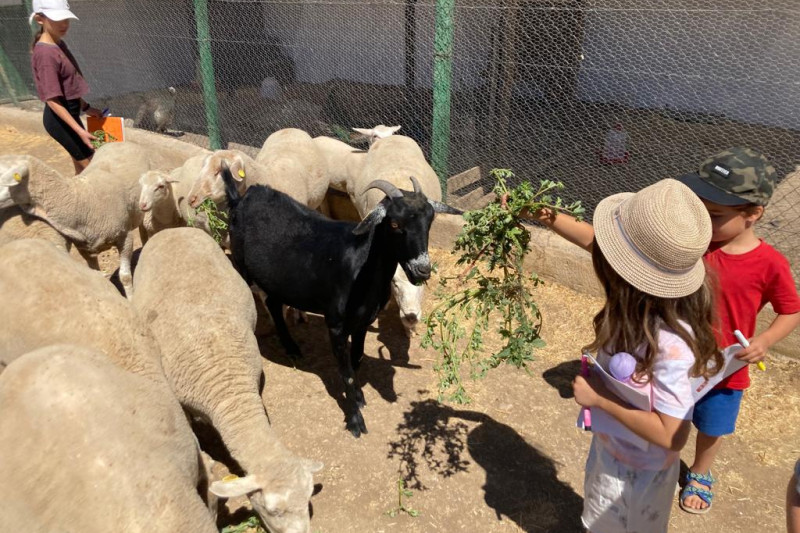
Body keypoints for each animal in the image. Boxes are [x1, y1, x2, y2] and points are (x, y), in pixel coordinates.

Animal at [0, 142, 159, 297]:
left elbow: (125, 276)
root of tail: (123, 142)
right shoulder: (84, 248)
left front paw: (131, 298)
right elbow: (97, 275)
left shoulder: (125, 237)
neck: (80, 199)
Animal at [221, 162, 444, 437]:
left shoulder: (363, 321)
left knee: (273, 303)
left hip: (277, 278)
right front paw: (356, 421)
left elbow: (356, 359)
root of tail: (241, 198)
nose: (422, 270)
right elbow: (345, 372)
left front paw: (358, 397)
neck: (360, 266)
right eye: (393, 224)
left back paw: (292, 348)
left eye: (430, 221)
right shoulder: (336, 324)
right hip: (241, 263)